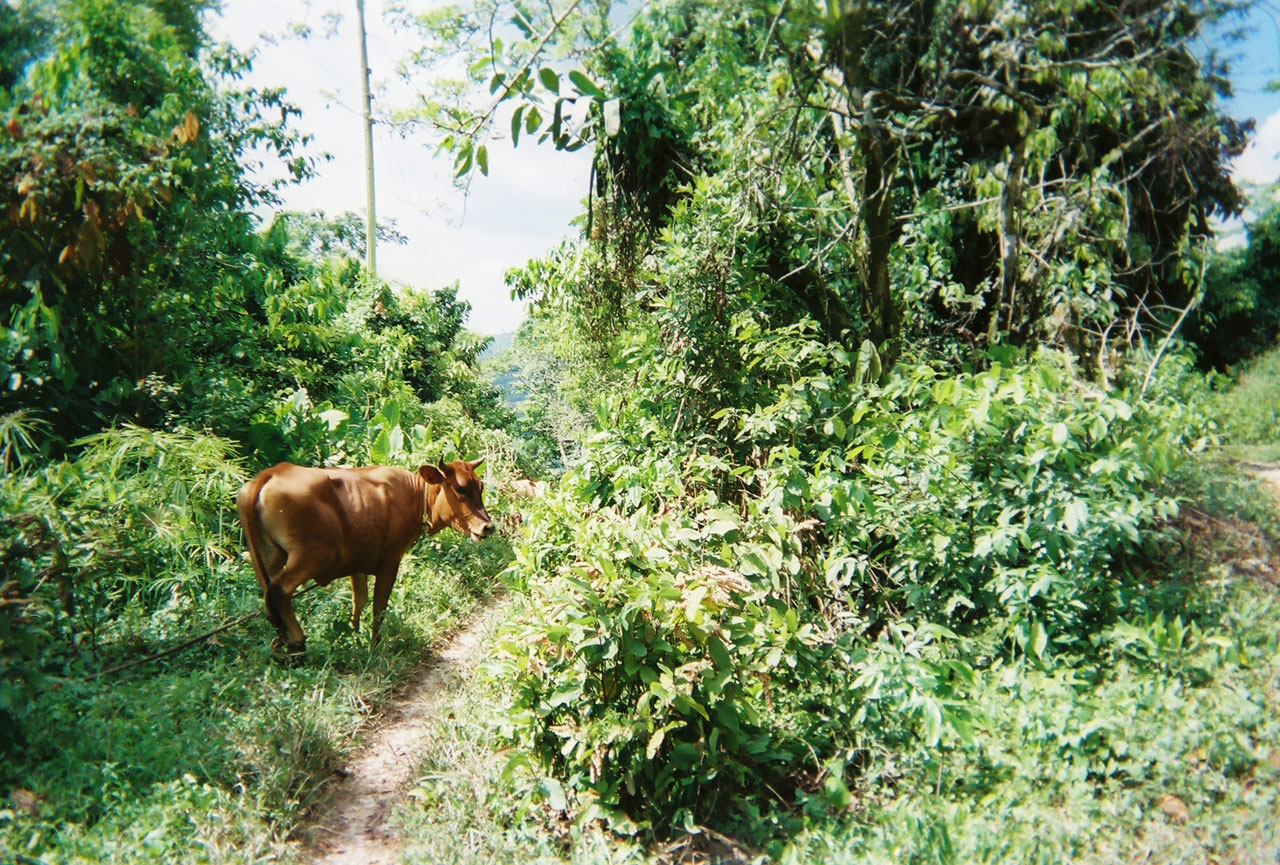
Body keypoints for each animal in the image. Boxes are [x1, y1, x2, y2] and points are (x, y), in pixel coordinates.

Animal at [235, 460, 494, 655]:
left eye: (480, 486)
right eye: (460, 489)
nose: (488, 527)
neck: (414, 496)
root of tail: (271, 473)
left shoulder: (357, 562)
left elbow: (359, 600)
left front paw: (355, 636)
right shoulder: (390, 561)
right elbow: (379, 607)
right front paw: (374, 647)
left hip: (267, 556)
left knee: (269, 599)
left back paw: (280, 645)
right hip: (310, 556)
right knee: (279, 590)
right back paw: (297, 643)